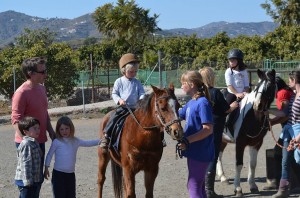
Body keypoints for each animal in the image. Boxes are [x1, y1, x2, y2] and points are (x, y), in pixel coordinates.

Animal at [216, 68, 276, 196]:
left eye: (269, 86)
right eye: (257, 86)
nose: (257, 105)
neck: (252, 116)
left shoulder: (256, 143)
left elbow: (253, 164)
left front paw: (253, 186)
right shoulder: (240, 143)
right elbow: (239, 164)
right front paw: (238, 189)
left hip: (222, 139)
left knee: (219, 154)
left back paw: (223, 177)